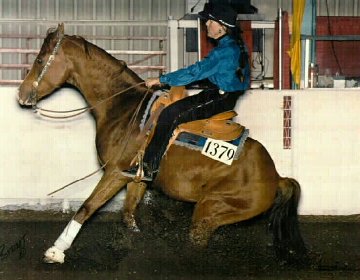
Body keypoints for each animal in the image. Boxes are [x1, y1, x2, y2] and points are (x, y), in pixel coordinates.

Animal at [17, 23, 306, 264]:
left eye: (40, 60)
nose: (22, 94)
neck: (123, 108)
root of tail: (277, 177)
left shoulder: (115, 173)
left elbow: (87, 207)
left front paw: (56, 250)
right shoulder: (135, 178)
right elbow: (128, 214)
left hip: (210, 209)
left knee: (198, 239)